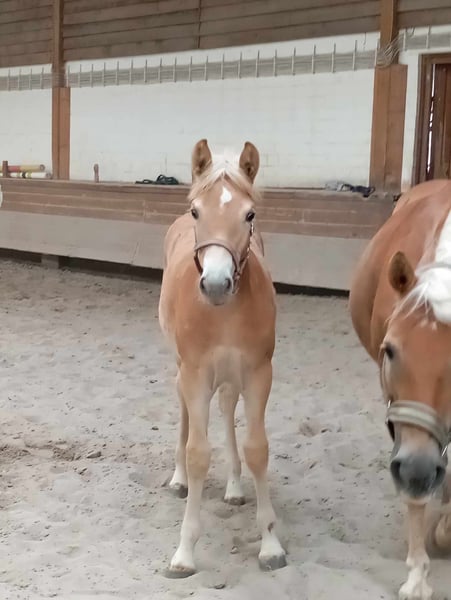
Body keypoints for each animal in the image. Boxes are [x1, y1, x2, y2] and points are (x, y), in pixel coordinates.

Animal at [158, 139, 287, 577]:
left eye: (249, 215)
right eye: (198, 211)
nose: (216, 284)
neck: (223, 313)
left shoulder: (259, 373)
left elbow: (257, 449)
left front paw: (270, 544)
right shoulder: (195, 374)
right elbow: (198, 453)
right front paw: (183, 553)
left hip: (232, 376)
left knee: (229, 409)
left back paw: (233, 486)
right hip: (182, 370)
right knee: (184, 412)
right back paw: (179, 480)